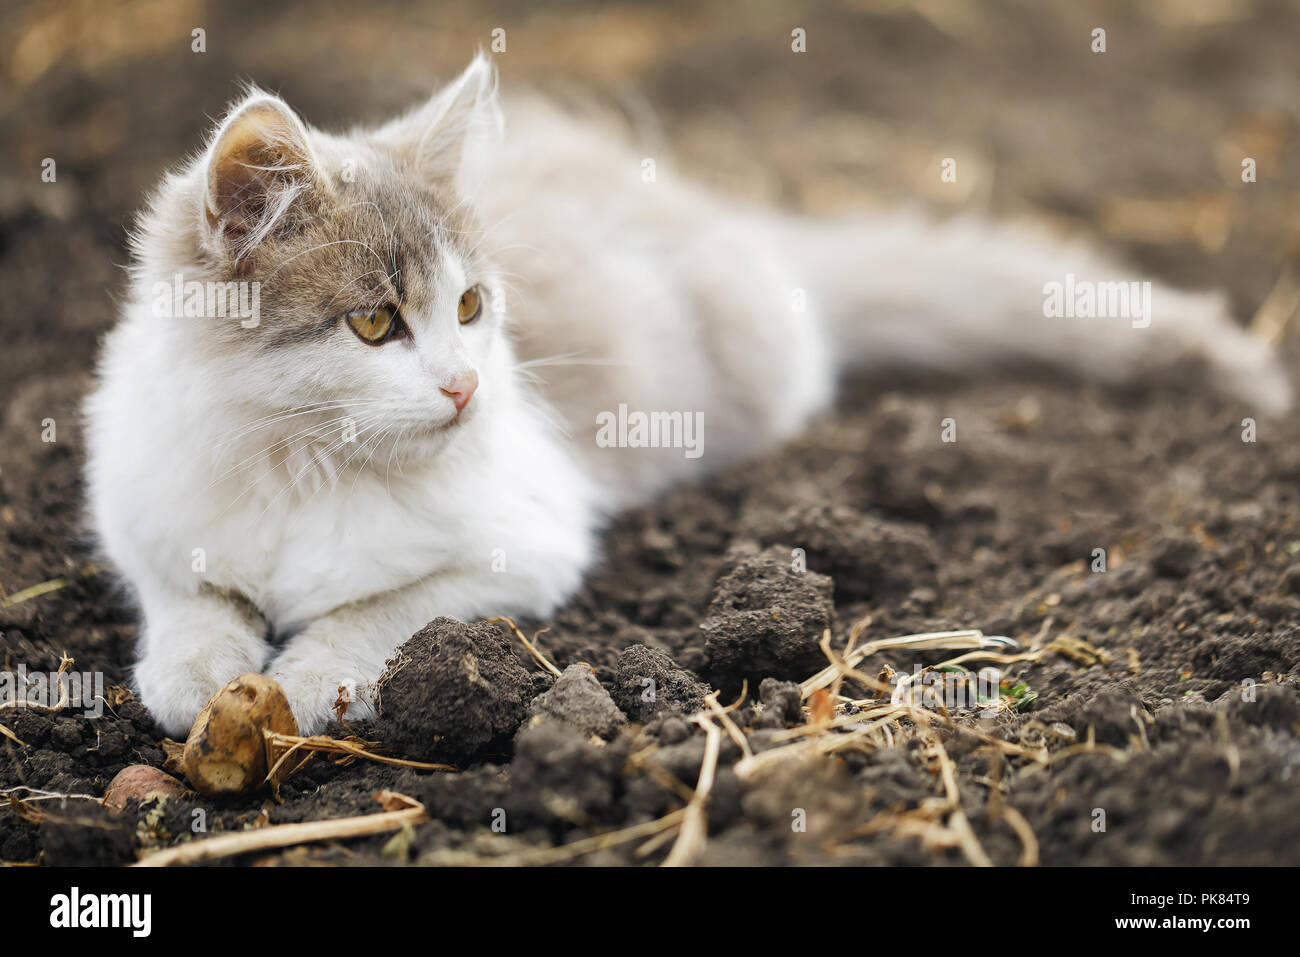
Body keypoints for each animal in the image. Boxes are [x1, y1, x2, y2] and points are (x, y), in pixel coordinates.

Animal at [86, 55, 1294, 738]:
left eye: (471, 306)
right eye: (375, 324)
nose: (467, 386)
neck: (306, 459)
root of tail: (727, 220)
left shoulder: (531, 538)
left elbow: (386, 609)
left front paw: (308, 677)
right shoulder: (146, 508)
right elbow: (188, 595)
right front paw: (198, 671)